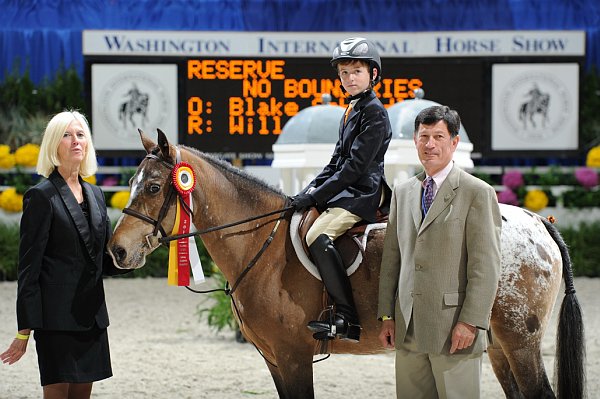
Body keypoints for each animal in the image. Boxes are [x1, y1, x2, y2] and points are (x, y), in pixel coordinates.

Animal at [108, 130, 584, 398]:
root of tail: (539, 221)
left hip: (520, 342)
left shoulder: (293, 357)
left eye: (154, 187)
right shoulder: (275, 360)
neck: (260, 245)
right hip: (497, 344)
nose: (117, 251)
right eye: (131, 182)